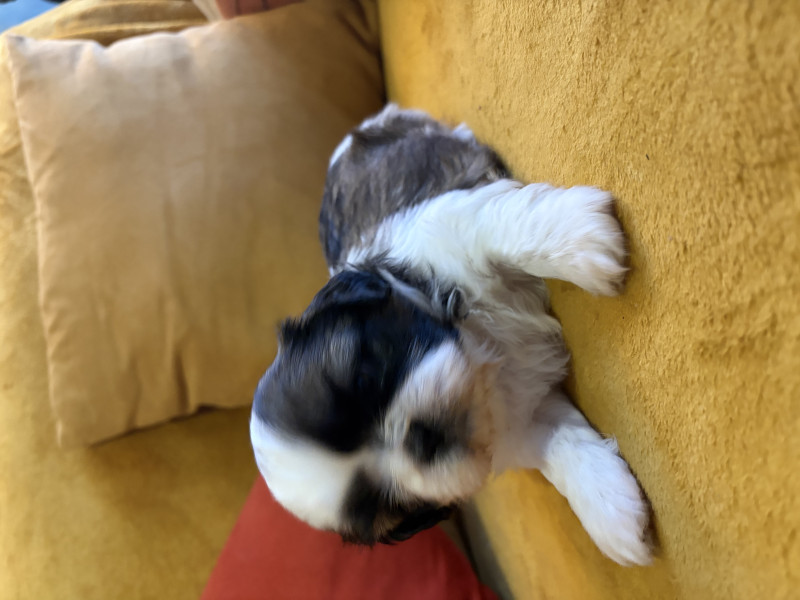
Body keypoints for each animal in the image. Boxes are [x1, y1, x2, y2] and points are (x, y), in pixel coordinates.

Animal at [250, 104, 652, 566]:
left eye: (366, 376)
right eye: (386, 502)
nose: (422, 440)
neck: (477, 348)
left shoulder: (450, 224)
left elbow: (503, 227)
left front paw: (583, 239)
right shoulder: (519, 422)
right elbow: (561, 445)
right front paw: (611, 510)